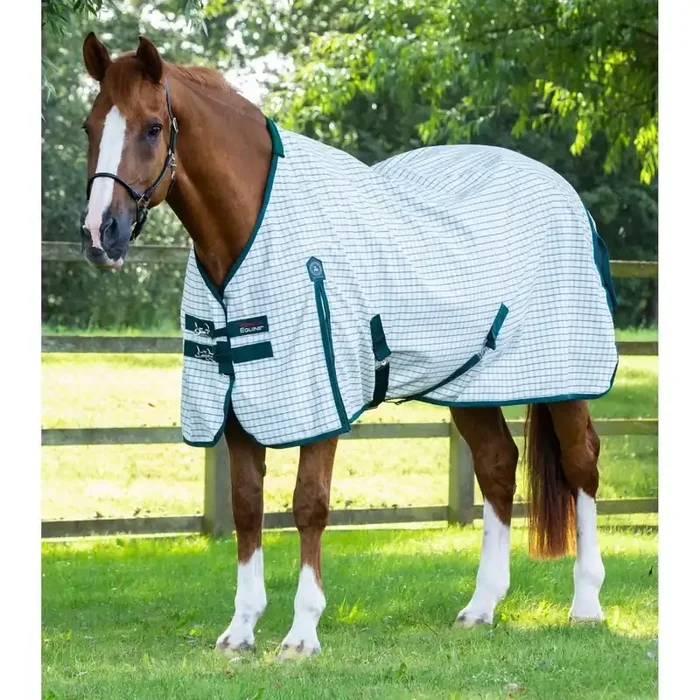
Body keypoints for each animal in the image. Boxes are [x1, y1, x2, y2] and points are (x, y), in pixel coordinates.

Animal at [78, 33, 614, 660]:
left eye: (153, 127)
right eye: (91, 126)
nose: (99, 235)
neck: (252, 230)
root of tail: (565, 194)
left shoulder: (320, 398)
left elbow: (308, 503)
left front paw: (301, 633)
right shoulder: (237, 400)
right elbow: (245, 505)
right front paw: (241, 630)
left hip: (567, 377)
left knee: (581, 464)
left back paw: (587, 604)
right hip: (468, 384)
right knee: (498, 466)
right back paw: (481, 607)